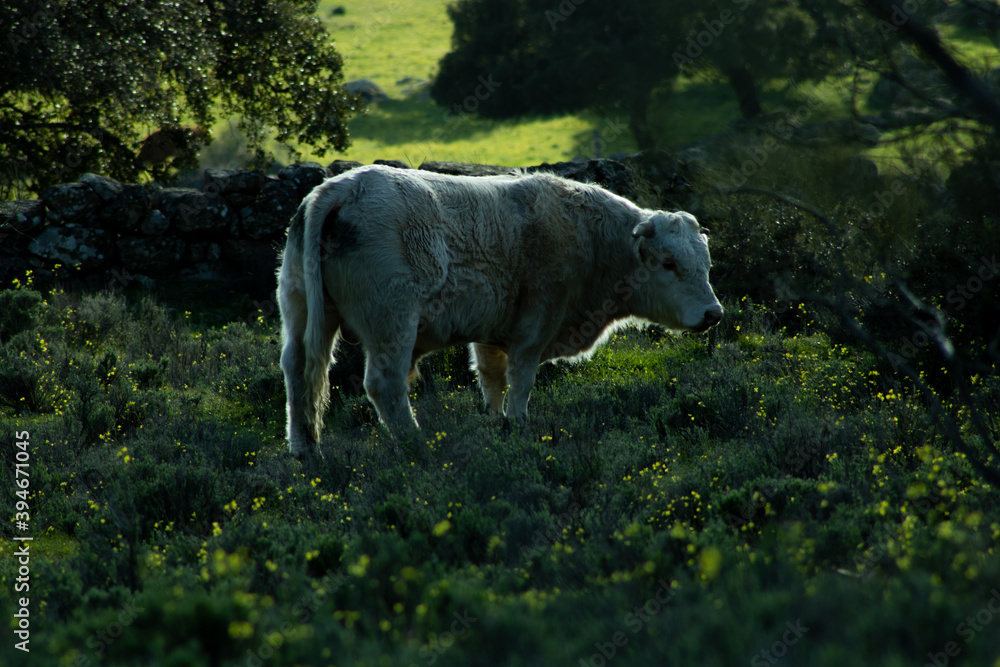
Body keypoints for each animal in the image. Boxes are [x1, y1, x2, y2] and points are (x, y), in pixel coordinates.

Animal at [277, 164, 723, 459]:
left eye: (706, 264)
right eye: (669, 263)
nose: (713, 313)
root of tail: (341, 186)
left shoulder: (490, 334)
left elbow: (490, 378)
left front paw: (493, 421)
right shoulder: (536, 324)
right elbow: (521, 380)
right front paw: (517, 425)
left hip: (300, 311)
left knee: (298, 372)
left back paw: (305, 449)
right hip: (393, 325)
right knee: (384, 385)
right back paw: (417, 444)